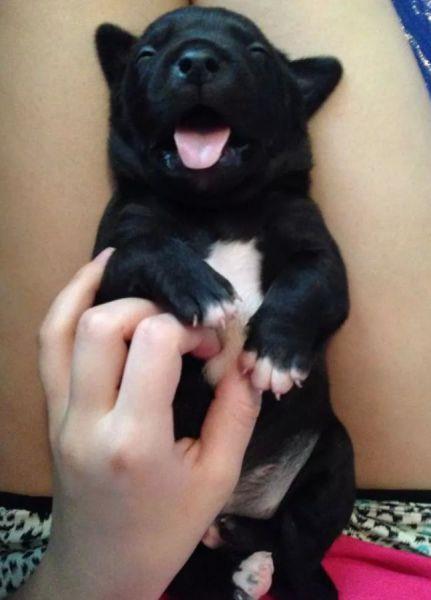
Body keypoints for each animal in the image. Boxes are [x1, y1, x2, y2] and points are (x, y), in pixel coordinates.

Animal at [92, 7, 355, 599]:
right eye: (146, 56)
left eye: (257, 53)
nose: (196, 61)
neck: (217, 209)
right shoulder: (111, 262)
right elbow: (144, 249)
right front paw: (200, 287)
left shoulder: (322, 255)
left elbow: (306, 282)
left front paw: (275, 352)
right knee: (200, 568)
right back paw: (241, 570)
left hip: (335, 461)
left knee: (297, 541)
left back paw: (274, 570)